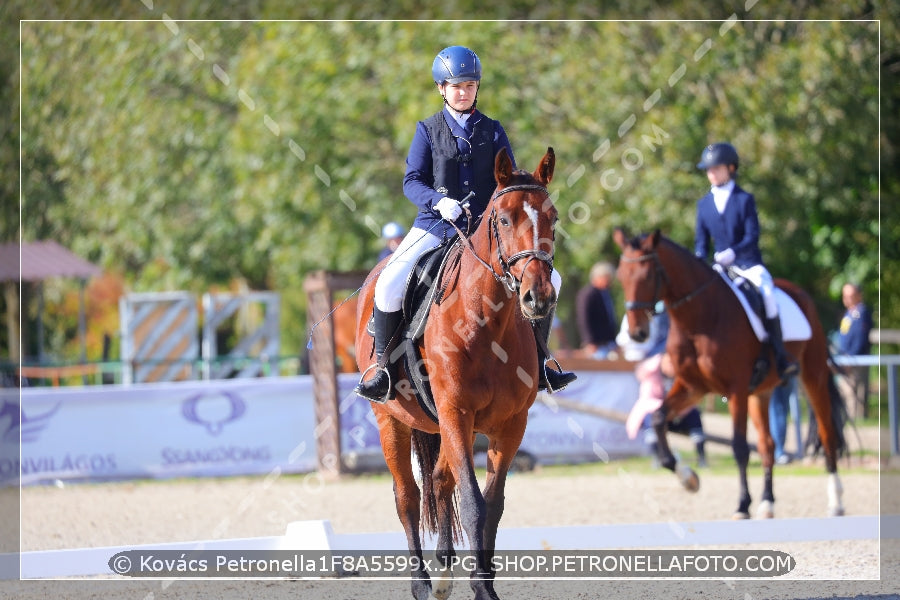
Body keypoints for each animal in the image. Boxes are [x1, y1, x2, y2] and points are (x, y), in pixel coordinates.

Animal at [356, 146, 556, 600]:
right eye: (504, 219)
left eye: (552, 217)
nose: (538, 298)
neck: (487, 323)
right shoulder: (456, 414)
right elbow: (471, 502)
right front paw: (480, 588)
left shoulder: (510, 425)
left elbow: (492, 504)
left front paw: (485, 584)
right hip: (391, 419)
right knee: (408, 496)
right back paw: (422, 583)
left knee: (439, 480)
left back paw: (445, 572)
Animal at [612, 230, 844, 520]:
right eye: (621, 276)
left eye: (648, 276)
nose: (637, 334)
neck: (698, 319)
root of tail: (801, 294)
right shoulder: (693, 387)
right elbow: (657, 418)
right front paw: (688, 478)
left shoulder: (736, 390)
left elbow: (739, 447)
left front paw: (742, 505)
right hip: (760, 393)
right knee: (767, 445)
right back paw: (767, 503)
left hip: (813, 377)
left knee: (827, 435)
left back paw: (835, 502)